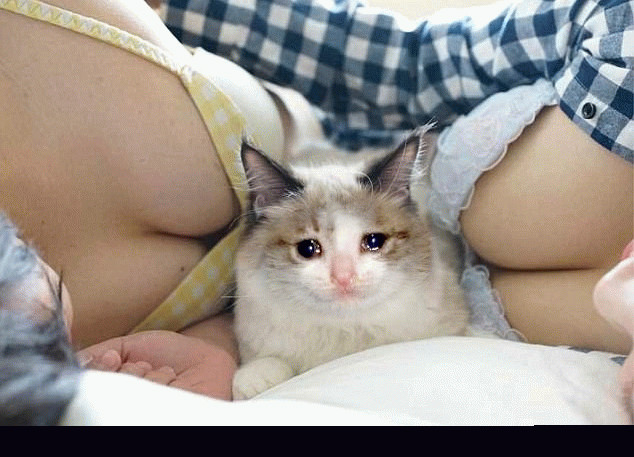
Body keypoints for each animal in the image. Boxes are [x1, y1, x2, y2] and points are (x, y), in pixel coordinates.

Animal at [232, 129, 468, 400]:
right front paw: (255, 382)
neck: (344, 331)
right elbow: (266, 363)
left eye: (374, 241)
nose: (343, 277)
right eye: (307, 248)